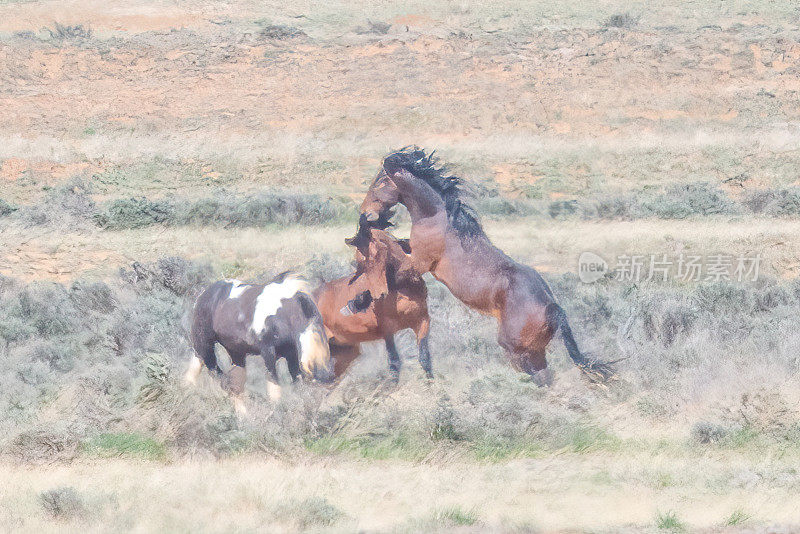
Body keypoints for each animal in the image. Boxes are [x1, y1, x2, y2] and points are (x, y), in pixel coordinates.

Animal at [185, 272, 334, 414]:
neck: (283, 313)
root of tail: (202, 296)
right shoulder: (268, 352)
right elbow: (274, 386)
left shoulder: (291, 354)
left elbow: (296, 380)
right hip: (204, 346)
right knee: (216, 375)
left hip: (236, 353)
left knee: (232, 381)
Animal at [316, 217, 434, 382]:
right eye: (358, 262)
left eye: (379, 253)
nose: (379, 295)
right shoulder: (387, 330)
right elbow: (394, 362)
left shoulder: (422, 320)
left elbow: (424, 358)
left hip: (345, 350)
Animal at [360, 147, 616, 386]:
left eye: (380, 182)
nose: (364, 212)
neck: (436, 218)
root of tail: (554, 309)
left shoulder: (418, 263)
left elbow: (392, 271)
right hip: (534, 352)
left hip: (517, 351)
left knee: (540, 379)